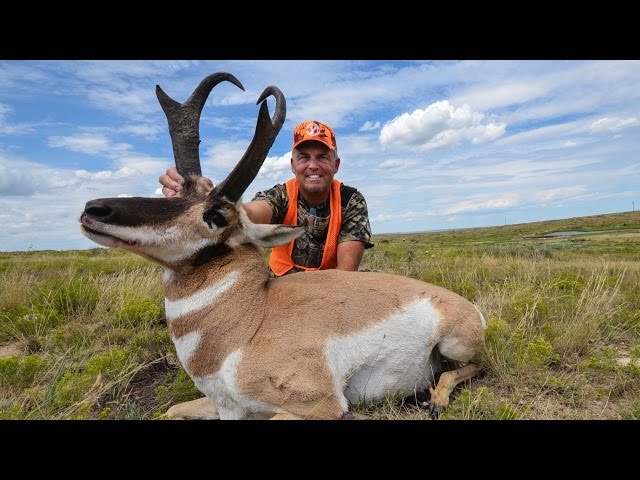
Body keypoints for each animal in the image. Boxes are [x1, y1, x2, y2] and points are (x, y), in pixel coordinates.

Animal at [82, 71, 488, 420]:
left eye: (216, 215)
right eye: (177, 192)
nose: (93, 208)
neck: (252, 319)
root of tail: (462, 303)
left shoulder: (317, 406)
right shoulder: (224, 406)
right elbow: (170, 409)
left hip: (454, 345)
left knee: (471, 367)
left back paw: (435, 399)